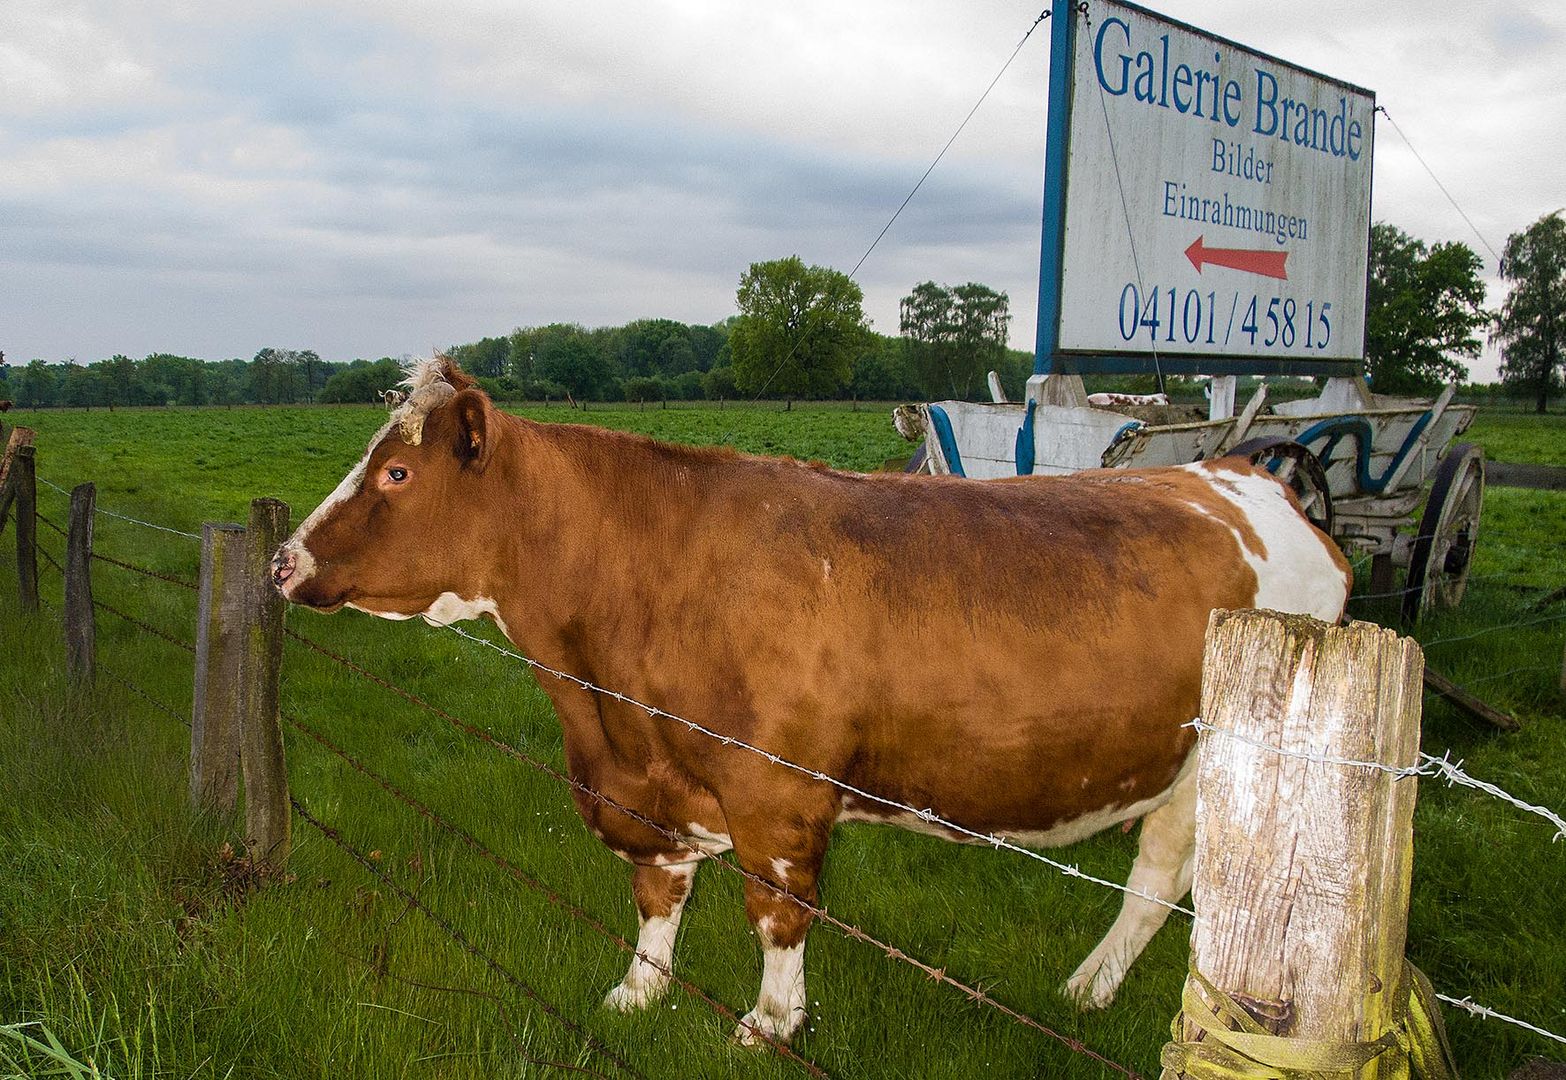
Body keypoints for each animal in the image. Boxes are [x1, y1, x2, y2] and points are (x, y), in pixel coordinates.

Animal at [269, 360, 1346, 1045]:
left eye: (397, 471)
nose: (283, 560)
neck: (603, 703)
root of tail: (1242, 476)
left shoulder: (774, 791)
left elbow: (776, 910)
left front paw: (770, 1023)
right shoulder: (650, 788)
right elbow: (658, 896)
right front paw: (636, 995)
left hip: (1242, 776)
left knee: (1180, 879)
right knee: (1164, 872)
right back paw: (1090, 988)